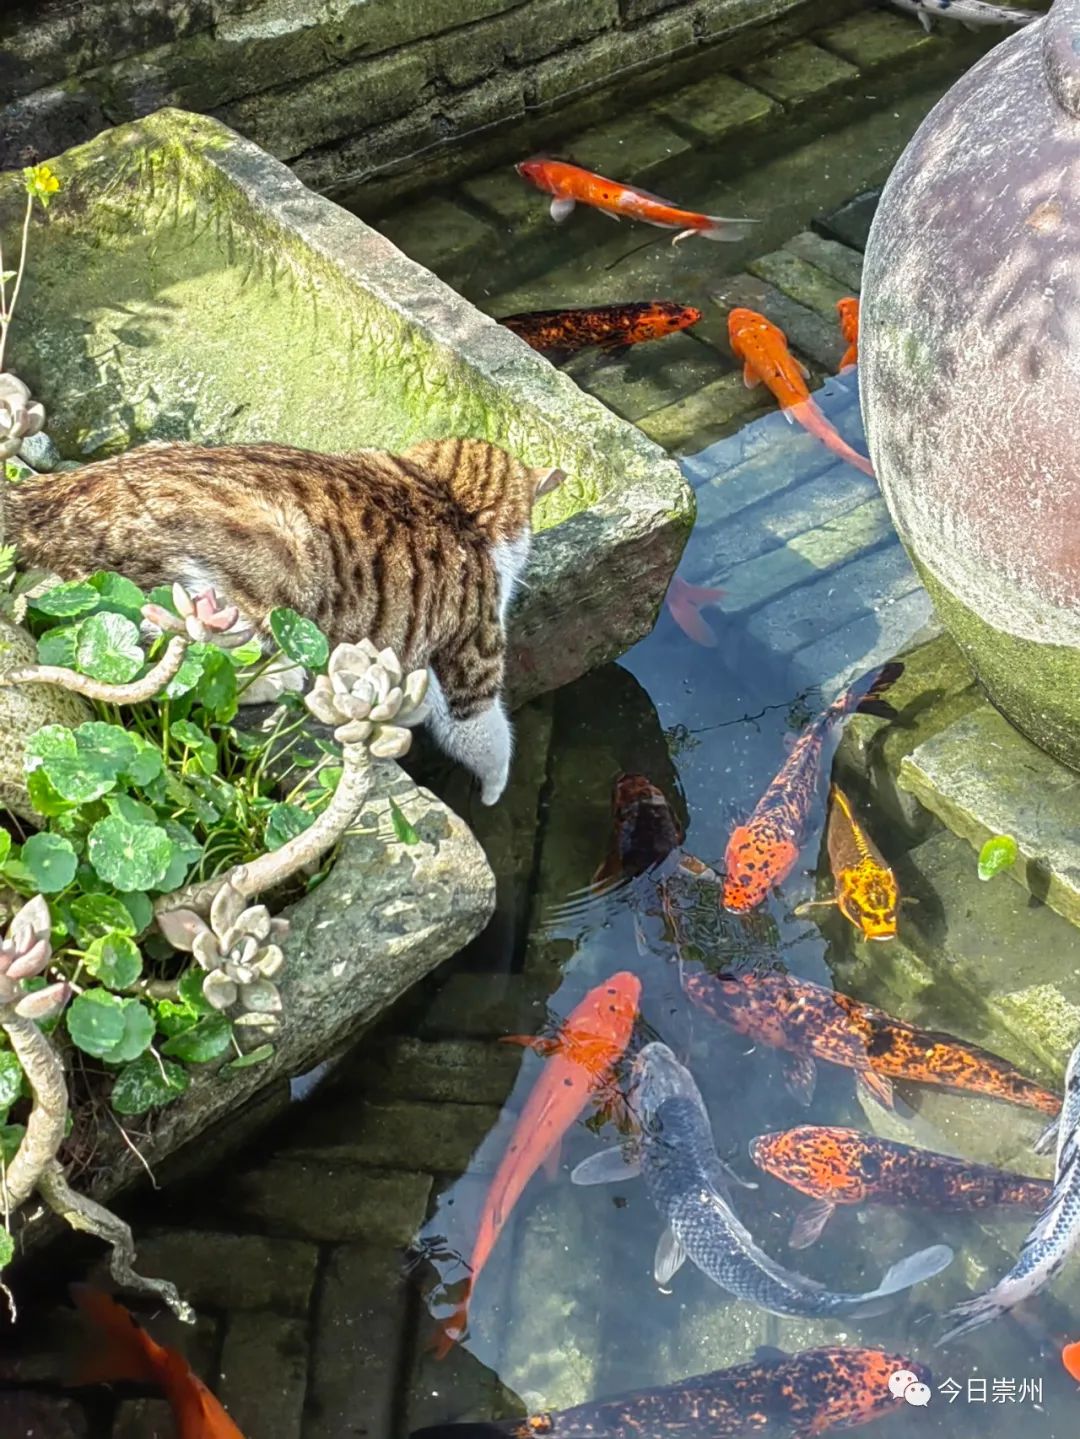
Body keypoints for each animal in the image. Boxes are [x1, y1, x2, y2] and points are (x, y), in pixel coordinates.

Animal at [10, 437, 566, 805]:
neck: (444, 493)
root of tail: (49, 496)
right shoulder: (470, 667)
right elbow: (486, 739)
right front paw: (495, 791)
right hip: (254, 570)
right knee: (164, 660)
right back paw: (277, 678)